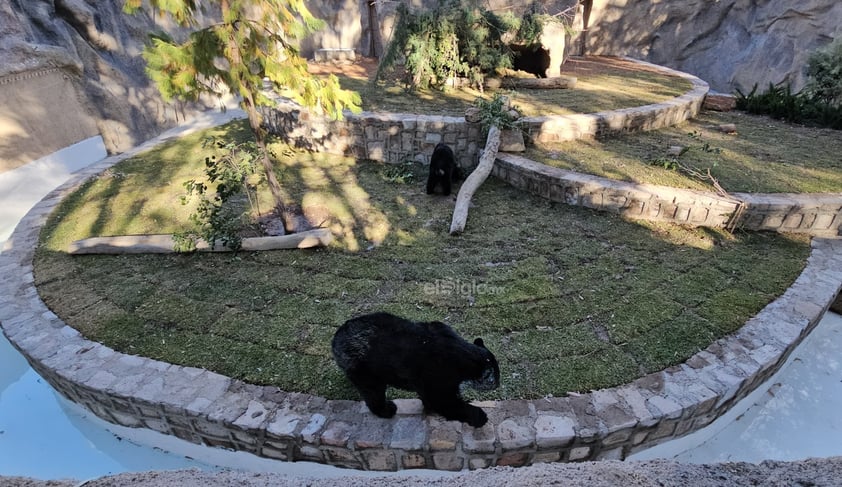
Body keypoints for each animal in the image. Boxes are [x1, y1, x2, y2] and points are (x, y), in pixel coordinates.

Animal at [328, 312, 498, 428]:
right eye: (495, 377)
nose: (498, 384)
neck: (462, 352)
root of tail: (336, 339)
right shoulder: (439, 390)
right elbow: (453, 406)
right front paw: (480, 417)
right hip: (370, 380)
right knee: (374, 399)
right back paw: (387, 410)